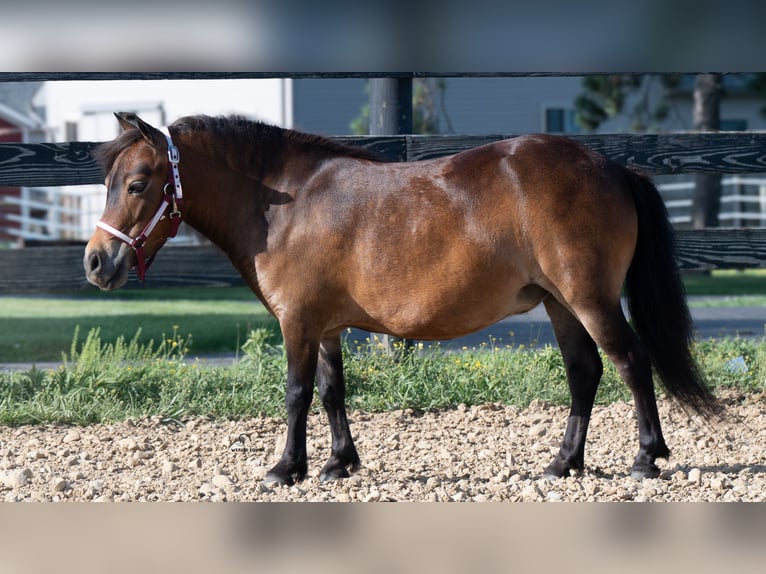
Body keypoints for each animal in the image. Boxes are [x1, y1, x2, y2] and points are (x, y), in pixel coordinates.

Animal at [84, 113, 721, 485]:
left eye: (137, 184)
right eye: (109, 182)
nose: (95, 262)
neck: (288, 202)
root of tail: (612, 166)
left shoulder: (298, 322)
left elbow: (295, 395)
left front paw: (286, 469)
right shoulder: (326, 326)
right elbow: (332, 392)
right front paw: (339, 463)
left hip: (589, 299)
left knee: (631, 362)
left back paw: (646, 458)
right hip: (560, 303)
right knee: (584, 372)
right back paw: (563, 463)